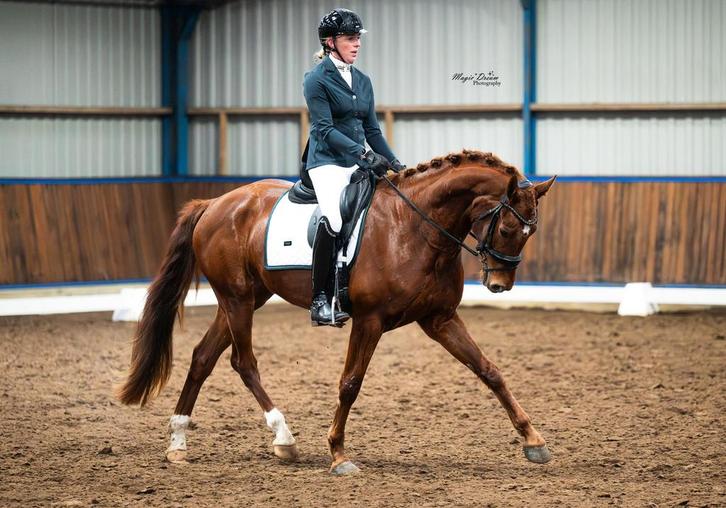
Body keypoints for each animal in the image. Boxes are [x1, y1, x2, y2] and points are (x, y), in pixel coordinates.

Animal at [117, 149, 556, 475]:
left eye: (531, 232)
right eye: (507, 229)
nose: (500, 284)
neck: (415, 229)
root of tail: (214, 203)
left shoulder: (440, 318)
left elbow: (489, 371)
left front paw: (534, 441)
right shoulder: (369, 320)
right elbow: (350, 384)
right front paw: (338, 454)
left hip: (243, 298)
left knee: (202, 358)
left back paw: (178, 443)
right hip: (238, 299)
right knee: (243, 362)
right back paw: (284, 438)